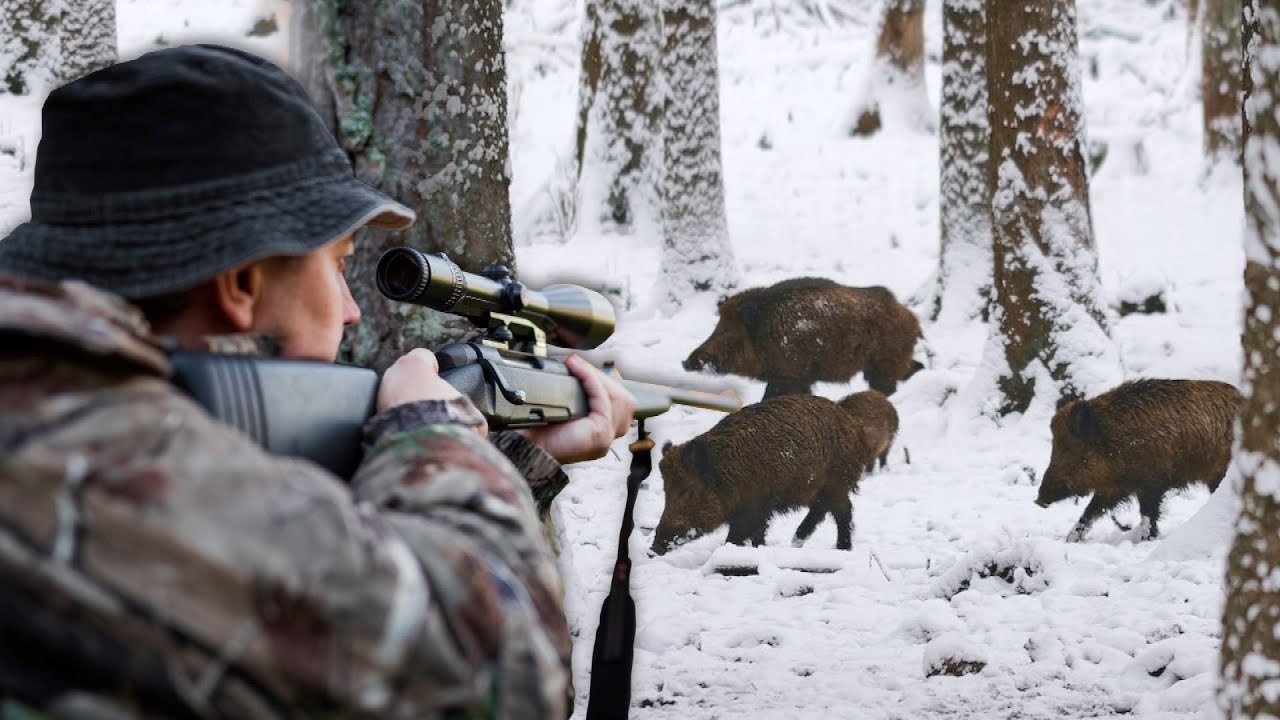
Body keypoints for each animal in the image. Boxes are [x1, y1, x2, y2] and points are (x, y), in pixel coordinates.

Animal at [650, 394, 877, 555]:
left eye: (687, 489)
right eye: (665, 490)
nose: (653, 549)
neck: (724, 474)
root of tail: (852, 424)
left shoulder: (752, 508)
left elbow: (736, 537)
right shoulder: (761, 509)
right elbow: (757, 535)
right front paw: (759, 550)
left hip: (836, 482)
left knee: (843, 511)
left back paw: (841, 548)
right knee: (821, 509)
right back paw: (797, 540)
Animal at [683, 278, 924, 400]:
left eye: (727, 331)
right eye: (717, 325)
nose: (687, 362)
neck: (763, 332)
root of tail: (911, 317)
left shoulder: (790, 374)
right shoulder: (798, 377)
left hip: (884, 362)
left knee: (889, 385)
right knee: (913, 368)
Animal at [1036, 378, 1242, 542]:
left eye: (1071, 450)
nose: (1039, 500)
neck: (1114, 442)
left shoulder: (1152, 483)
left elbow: (1147, 515)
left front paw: (1146, 540)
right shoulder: (1114, 488)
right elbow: (1090, 512)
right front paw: (1069, 540)